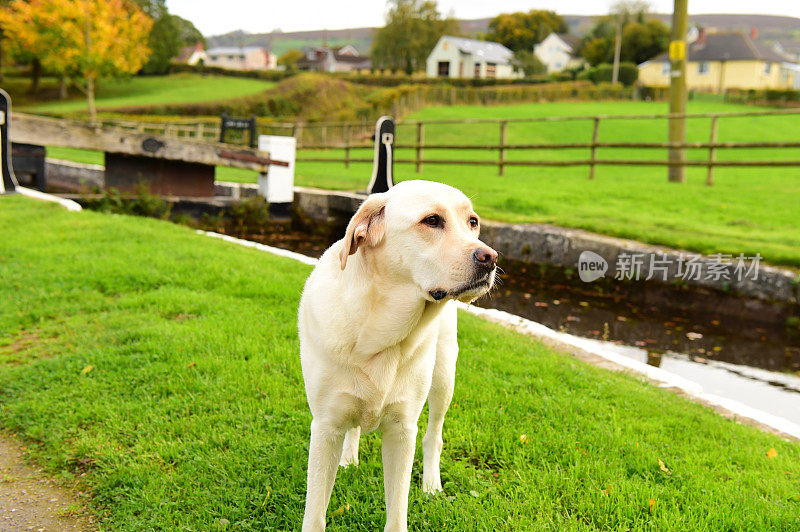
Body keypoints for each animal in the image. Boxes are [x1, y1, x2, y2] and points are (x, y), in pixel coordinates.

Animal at [298, 181, 496, 528]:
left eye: (472, 222)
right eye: (432, 221)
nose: (491, 257)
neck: (379, 331)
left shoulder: (402, 431)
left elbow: (397, 510)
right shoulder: (325, 428)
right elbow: (315, 514)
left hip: (444, 377)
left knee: (434, 436)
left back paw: (431, 485)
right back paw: (349, 458)